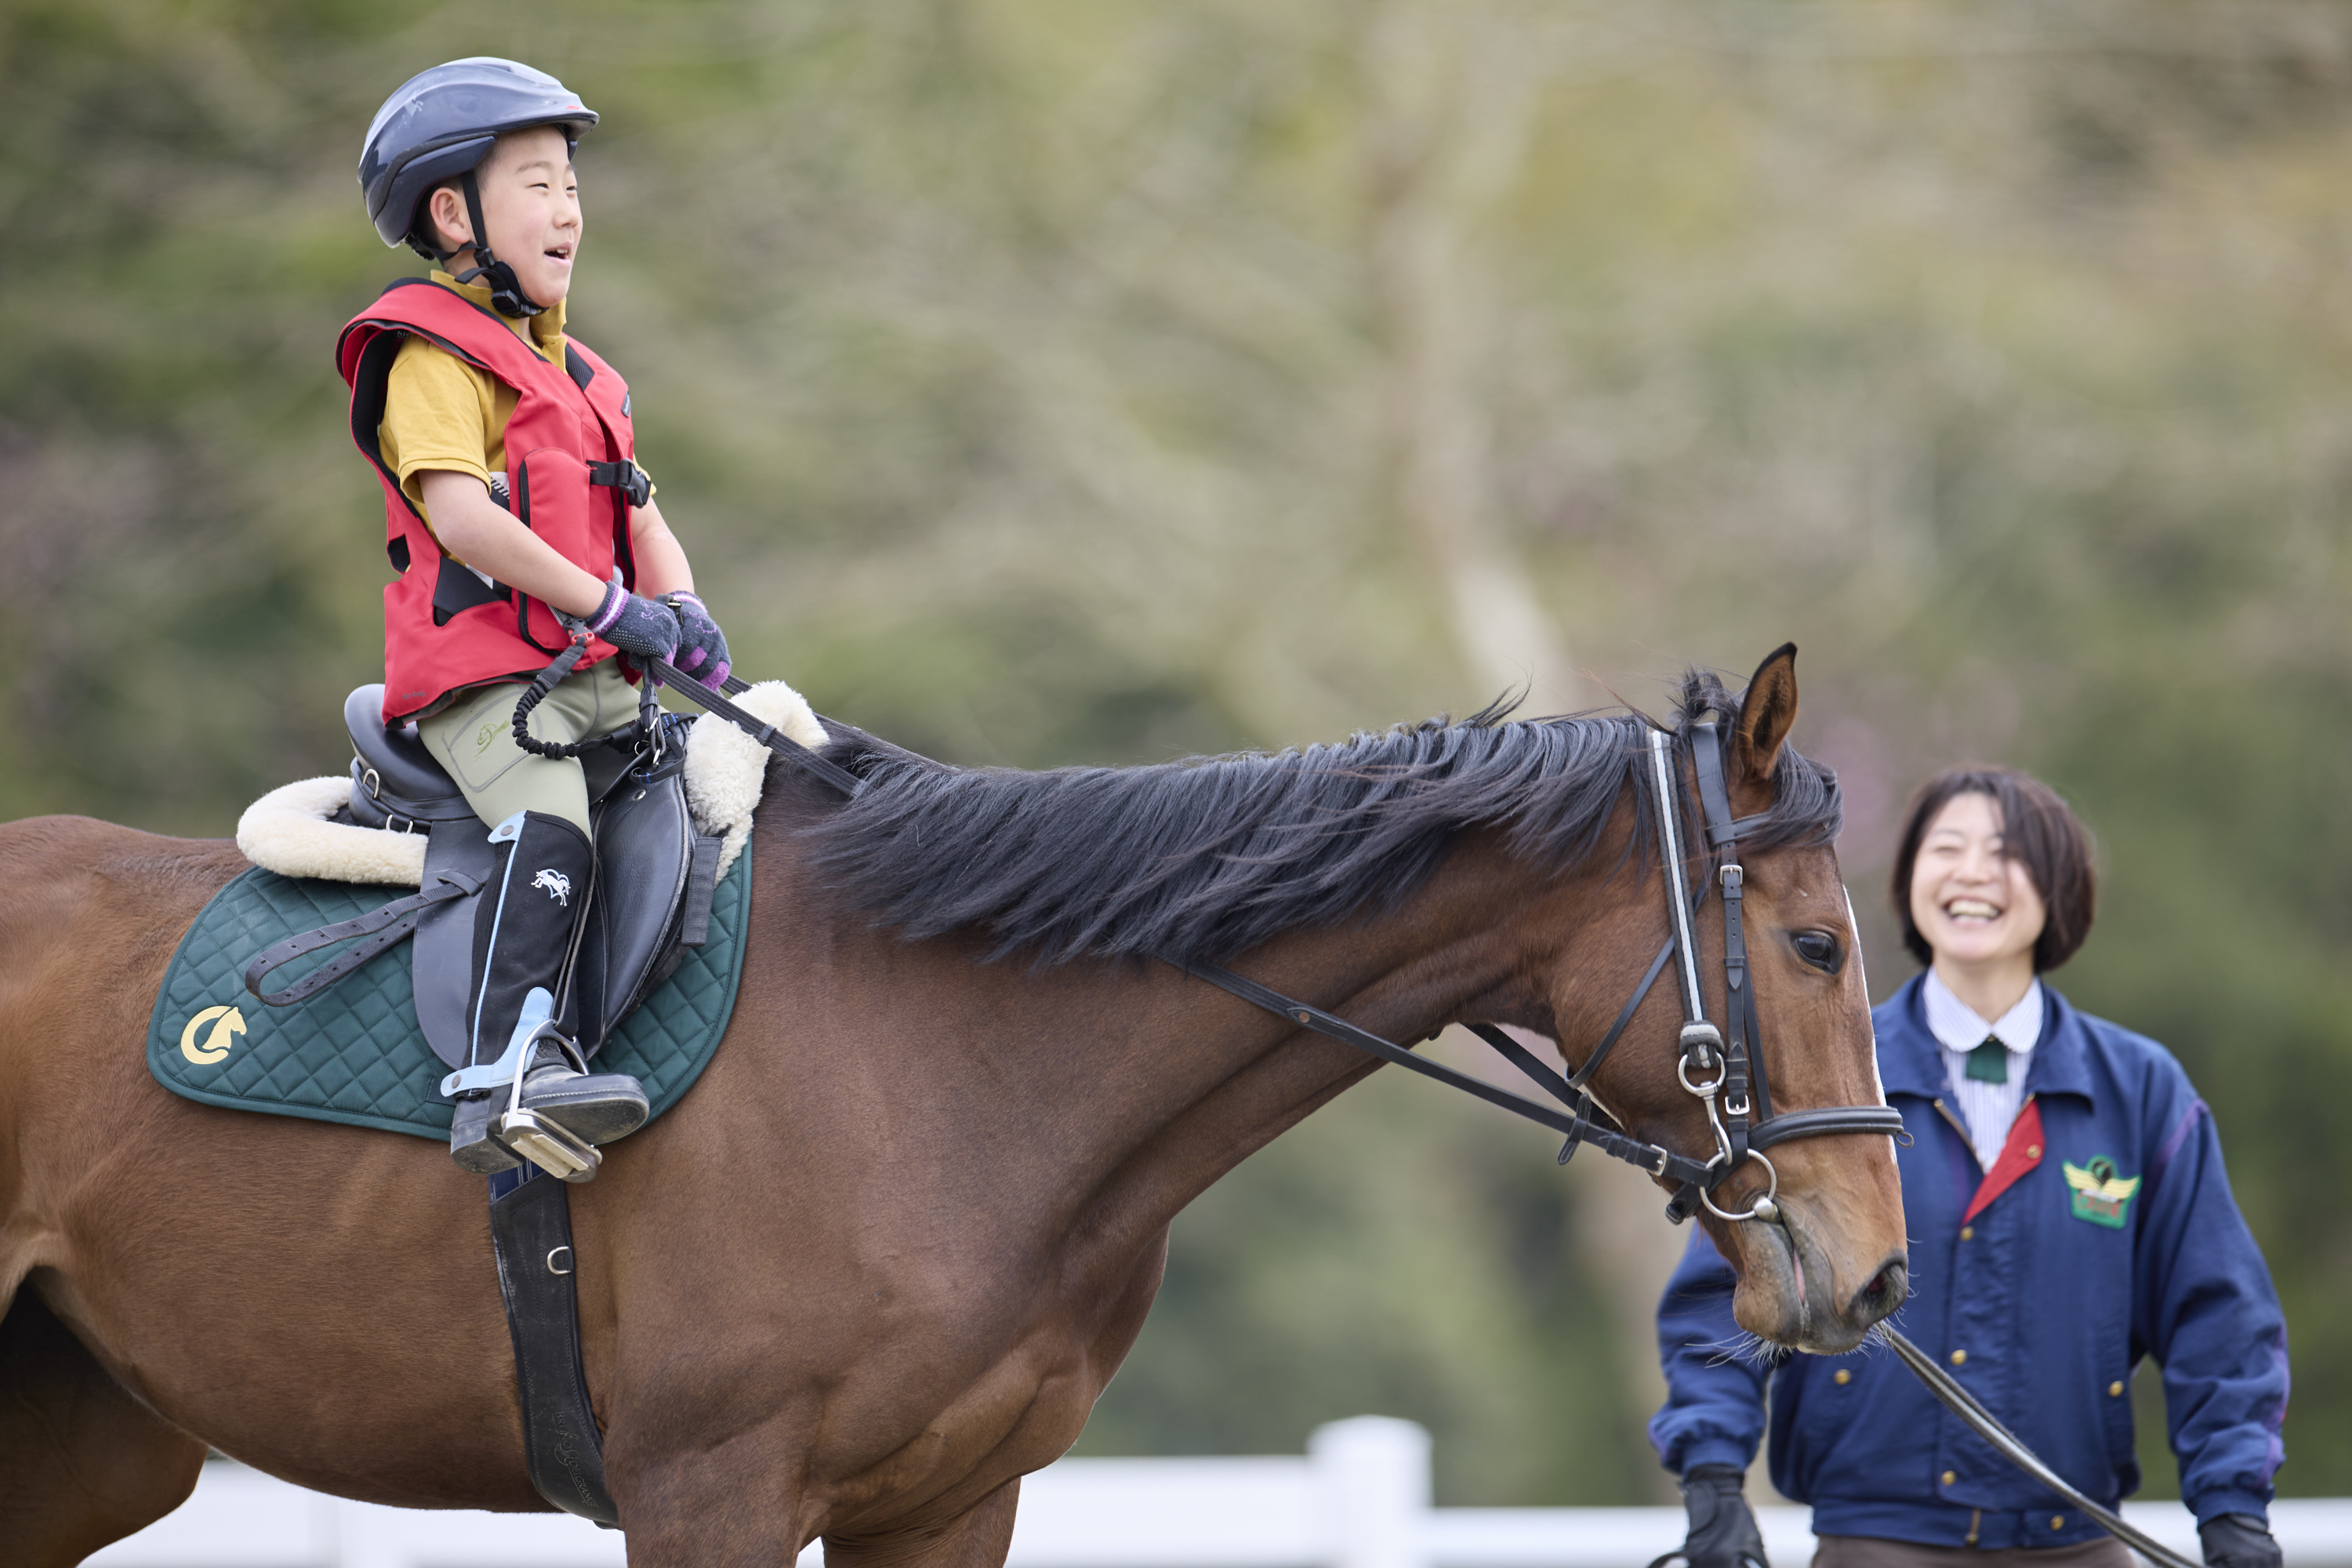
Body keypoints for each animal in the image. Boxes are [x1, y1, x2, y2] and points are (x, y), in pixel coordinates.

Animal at [0, 644, 1910, 1561]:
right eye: (1818, 943)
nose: (1876, 1272)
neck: (959, 1056)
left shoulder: (943, 1507)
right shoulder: (710, 1498)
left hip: (80, 1446)